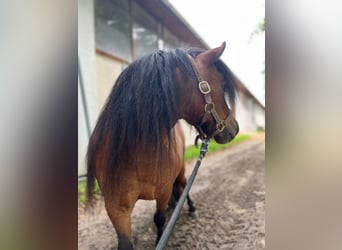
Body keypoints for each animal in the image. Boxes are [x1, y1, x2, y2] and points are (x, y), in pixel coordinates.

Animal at [87, 42, 239, 249]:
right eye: (222, 85)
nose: (234, 128)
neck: (135, 154)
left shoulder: (163, 191)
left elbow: (159, 219)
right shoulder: (116, 207)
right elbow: (125, 241)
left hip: (181, 171)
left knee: (183, 185)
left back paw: (191, 208)